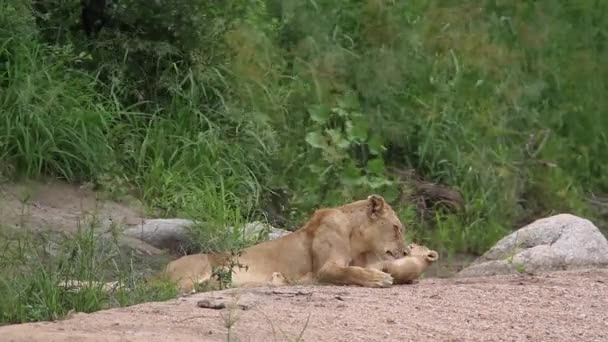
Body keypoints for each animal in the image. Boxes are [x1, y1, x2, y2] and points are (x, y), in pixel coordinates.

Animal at [164, 195, 406, 294]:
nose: (405, 251)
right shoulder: (324, 269)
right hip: (199, 265)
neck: (356, 238)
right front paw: (380, 278)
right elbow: (350, 271)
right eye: (396, 228)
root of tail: (161, 271)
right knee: (180, 288)